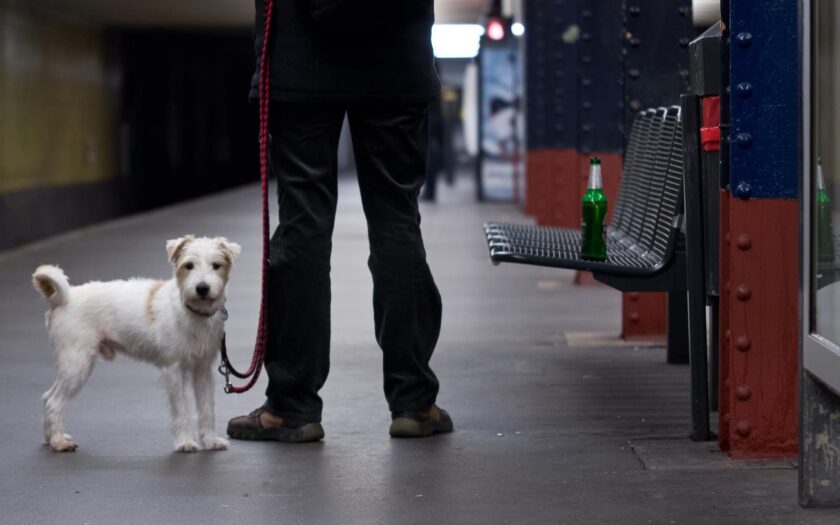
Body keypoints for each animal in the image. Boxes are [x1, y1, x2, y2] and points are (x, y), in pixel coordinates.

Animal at [32, 235, 240, 452]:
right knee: (53, 402)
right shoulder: (173, 369)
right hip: (77, 363)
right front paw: (184, 442)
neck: (190, 311)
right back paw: (59, 442)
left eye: (216, 265)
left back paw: (51, 437)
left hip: (73, 365)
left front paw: (210, 440)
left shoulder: (202, 370)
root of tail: (64, 298)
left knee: (47, 397)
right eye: (188, 265)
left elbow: (207, 408)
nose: (202, 288)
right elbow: (181, 408)